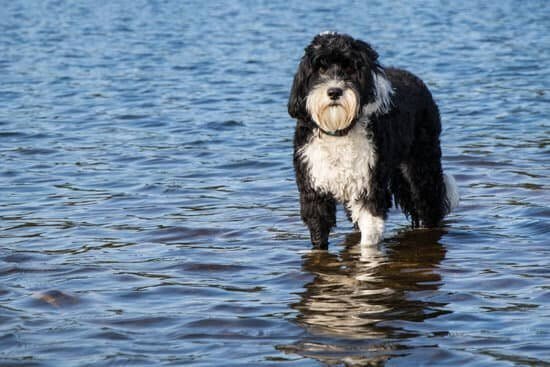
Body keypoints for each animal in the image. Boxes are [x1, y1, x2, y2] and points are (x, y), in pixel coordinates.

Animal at [288, 32, 462, 250]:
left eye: (350, 68)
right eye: (320, 68)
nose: (334, 92)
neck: (339, 131)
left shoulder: (369, 188)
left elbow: (369, 239)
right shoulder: (315, 192)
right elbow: (319, 233)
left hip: (421, 168)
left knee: (429, 205)